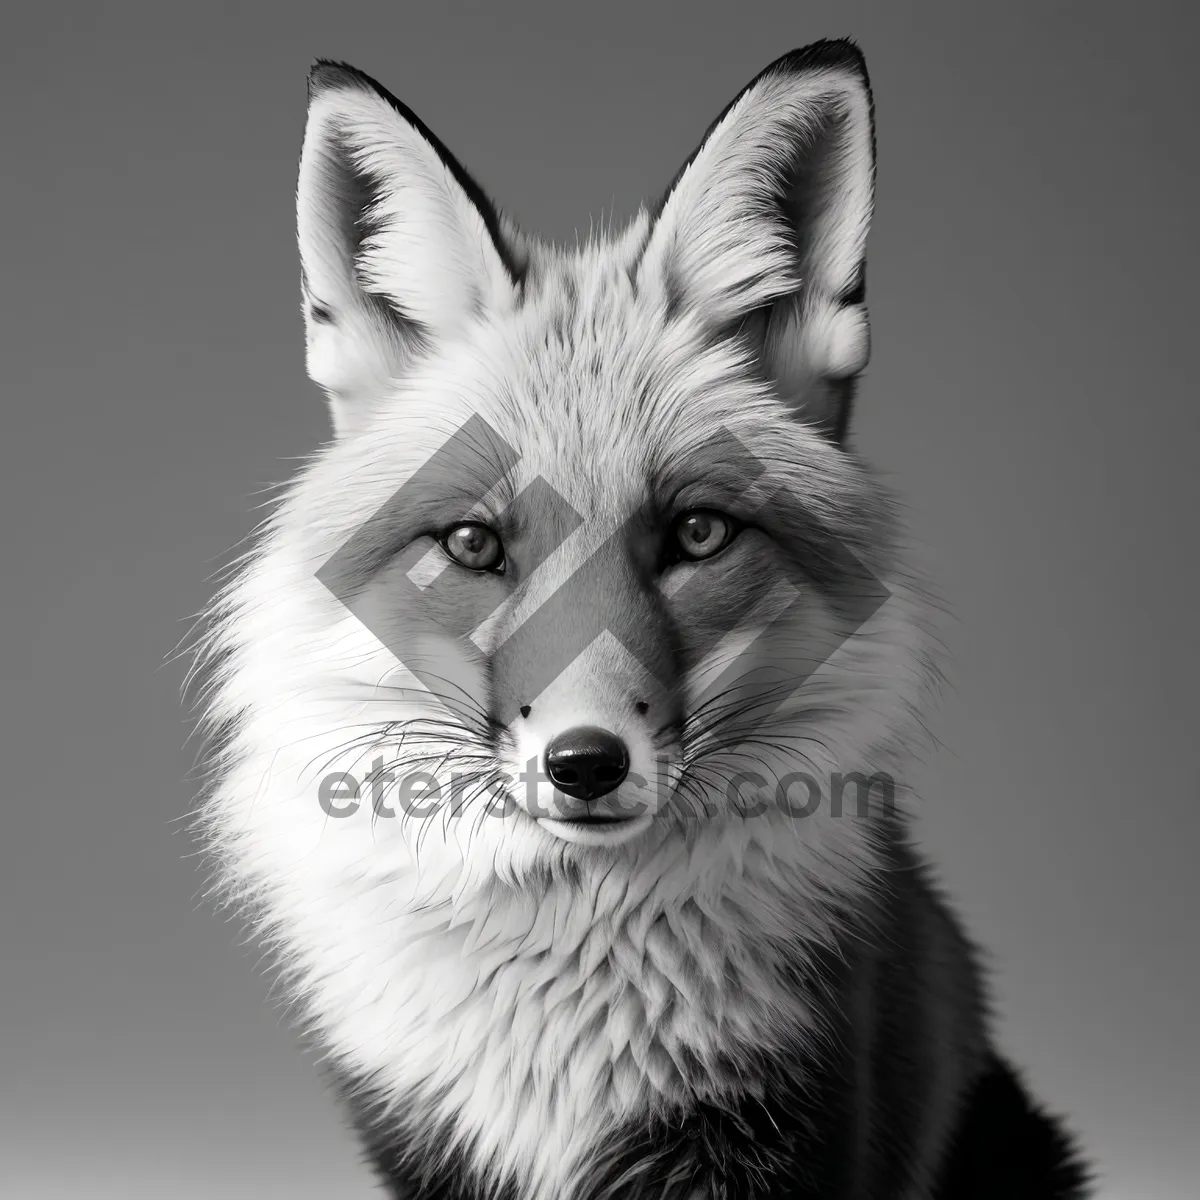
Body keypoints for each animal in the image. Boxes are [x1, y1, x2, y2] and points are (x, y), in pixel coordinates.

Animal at [192, 37, 1094, 1200]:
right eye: (475, 545)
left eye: (698, 534)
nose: (586, 762)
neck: (565, 970)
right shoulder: (423, 1134)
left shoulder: (779, 1118)